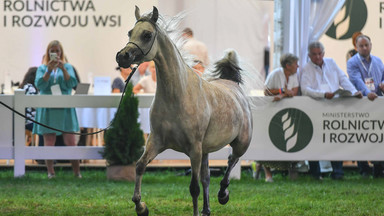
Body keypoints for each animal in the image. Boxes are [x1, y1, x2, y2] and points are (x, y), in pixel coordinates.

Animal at [117, 6, 254, 216]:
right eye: (130, 33)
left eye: (147, 35)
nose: (122, 56)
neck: (177, 97)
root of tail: (234, 86)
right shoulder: (156, 141)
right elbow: (140, 166)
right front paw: (141, 207)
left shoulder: (194, 149)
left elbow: (194, 188)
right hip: (206, 150)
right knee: (207, 177)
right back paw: (207, 209)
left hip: (240, 143)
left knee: (231, 161)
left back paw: (223, 194)